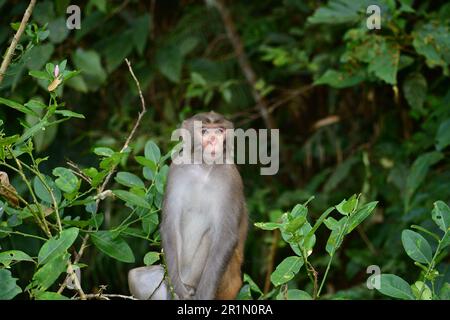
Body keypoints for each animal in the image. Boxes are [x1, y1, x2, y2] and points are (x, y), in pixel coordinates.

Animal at [161, 110, 248, 300]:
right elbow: (170, 227)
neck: (204, 168)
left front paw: (202, 295)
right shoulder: (177, 170)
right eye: (205, 131)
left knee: (211, 237)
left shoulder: (231, 179)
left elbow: (225, 237)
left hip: (228, 281)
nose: (214, 140)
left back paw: (192, 287)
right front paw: (176, 290)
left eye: (220, 131)